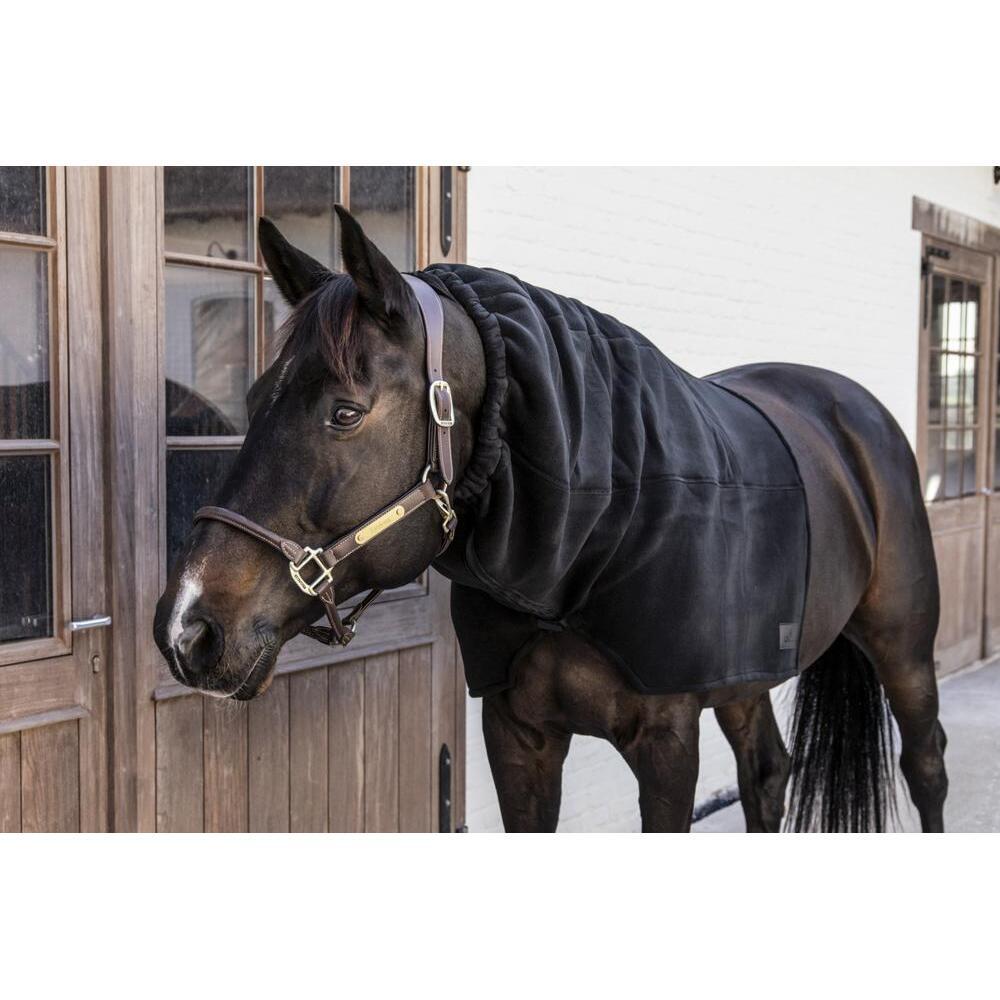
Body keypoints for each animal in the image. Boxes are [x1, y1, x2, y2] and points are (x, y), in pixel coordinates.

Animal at [154, 207, 947, 833]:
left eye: (345, 413)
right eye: (253, 398)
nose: (187, 629)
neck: (594, 539)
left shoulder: (667, 744)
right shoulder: (517, 736)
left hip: (903, 651)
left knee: (926, 767)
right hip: (745, 677)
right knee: (767, 775)